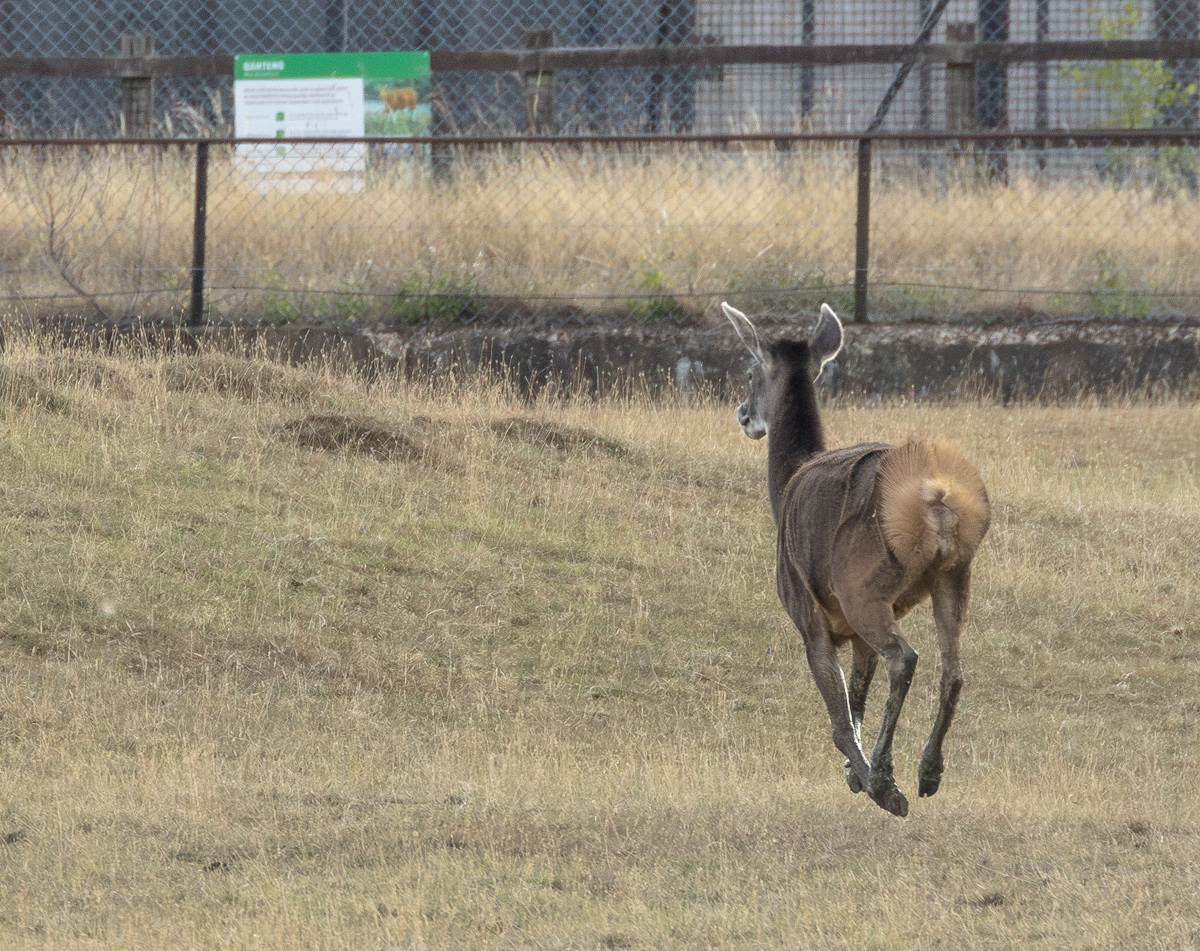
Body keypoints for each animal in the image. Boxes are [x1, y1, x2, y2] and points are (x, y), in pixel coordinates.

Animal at [723, 301, 990, 817]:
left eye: (748, 371)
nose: (743, 414)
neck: (786, 486)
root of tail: (935, 500)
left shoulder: (808, 615)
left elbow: (840, 719)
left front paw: (865, 775)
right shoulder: (852, 632)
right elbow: (859, 699)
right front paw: (855, 772)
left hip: (860, 584)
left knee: (905, 657)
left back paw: (888, 781)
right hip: (954, 574)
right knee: (954, 670)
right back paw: (928, 771)